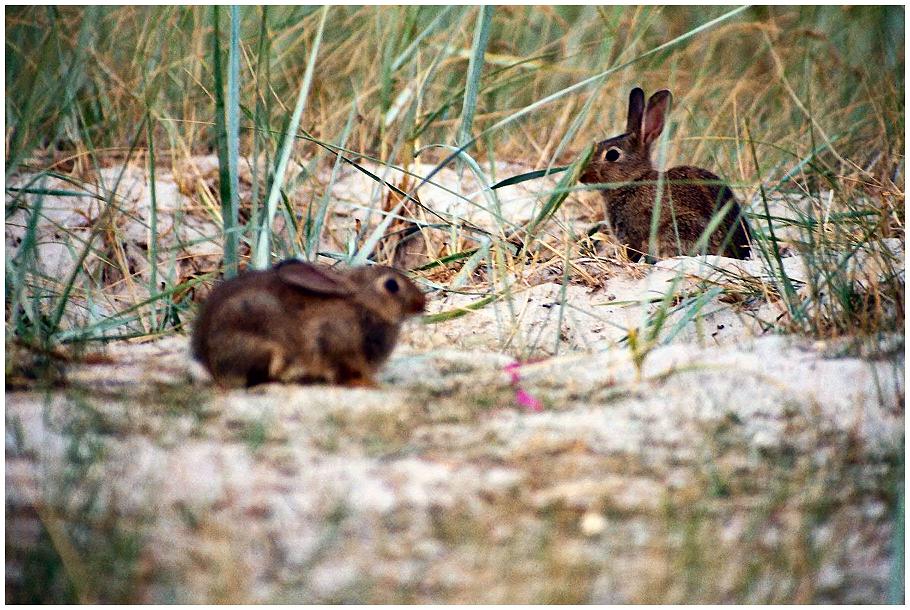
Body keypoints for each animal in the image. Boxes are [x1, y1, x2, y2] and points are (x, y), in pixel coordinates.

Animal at [192, 258, 428, 388]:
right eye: (391, 285)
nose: (422, 303)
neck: (364, 305)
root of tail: (207, 362)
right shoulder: (335, 343)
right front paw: (368, 385)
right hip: (262, 340)